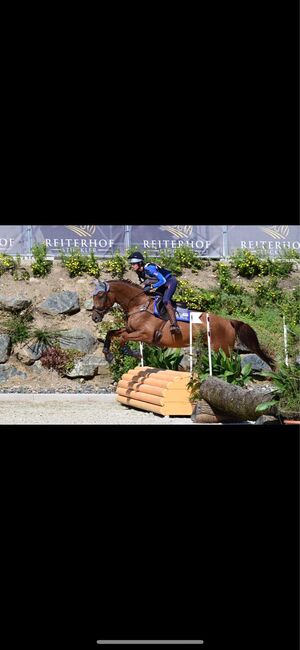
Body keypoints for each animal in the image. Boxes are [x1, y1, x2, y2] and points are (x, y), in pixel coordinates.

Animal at [91, 278, 276, 370]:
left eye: (100, 295)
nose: (94, 317)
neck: (139, 305)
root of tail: (228, 321)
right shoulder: (131, 329)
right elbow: (112, 333)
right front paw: (107, 353)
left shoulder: (145, 334)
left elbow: (123, 338)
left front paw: (134, 354)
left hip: (222, 349)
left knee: (232, 364)